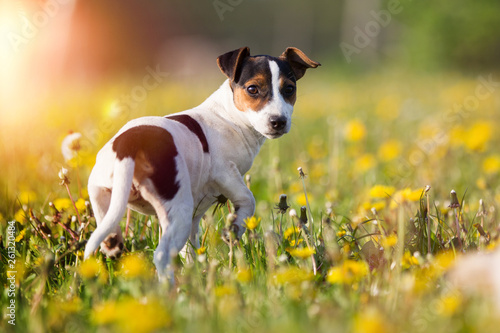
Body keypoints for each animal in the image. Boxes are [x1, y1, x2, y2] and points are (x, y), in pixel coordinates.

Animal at [83, 46, 318, 278]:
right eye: (252, 89)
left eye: (289, 89)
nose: (278, 121)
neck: (229, 115)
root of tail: (129, 146)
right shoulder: (225, 173)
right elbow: (248, 200)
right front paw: (233, 230)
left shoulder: (197, 213)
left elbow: (191, 249)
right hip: (179, 209)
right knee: (162, 255)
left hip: (103, 195)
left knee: (108, 232)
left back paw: (113, 245)